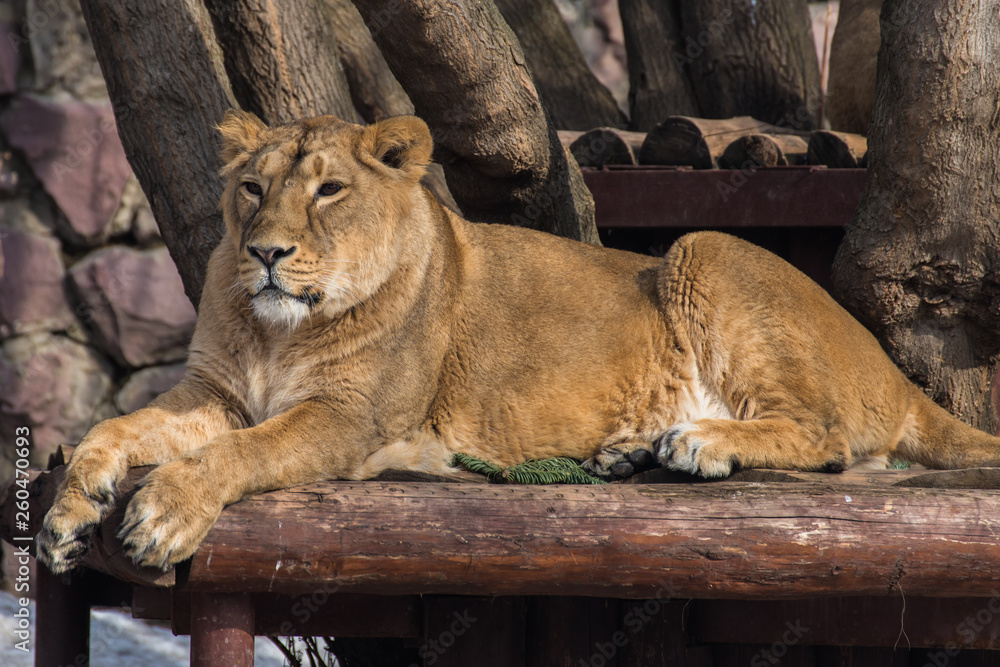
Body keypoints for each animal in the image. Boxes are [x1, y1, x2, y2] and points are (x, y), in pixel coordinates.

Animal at [39, 111, 1000, 573]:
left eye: (329, 191)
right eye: (251, 188)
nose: (266, 252)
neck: (277, 329)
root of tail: (891, 366)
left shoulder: (347, 417)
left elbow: (238, 454)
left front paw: (163, 513)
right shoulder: (214, 391)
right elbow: (115, 428)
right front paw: (69, 507)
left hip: (704, 250)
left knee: (828, 436)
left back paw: (697, 443)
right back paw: (631, 451)